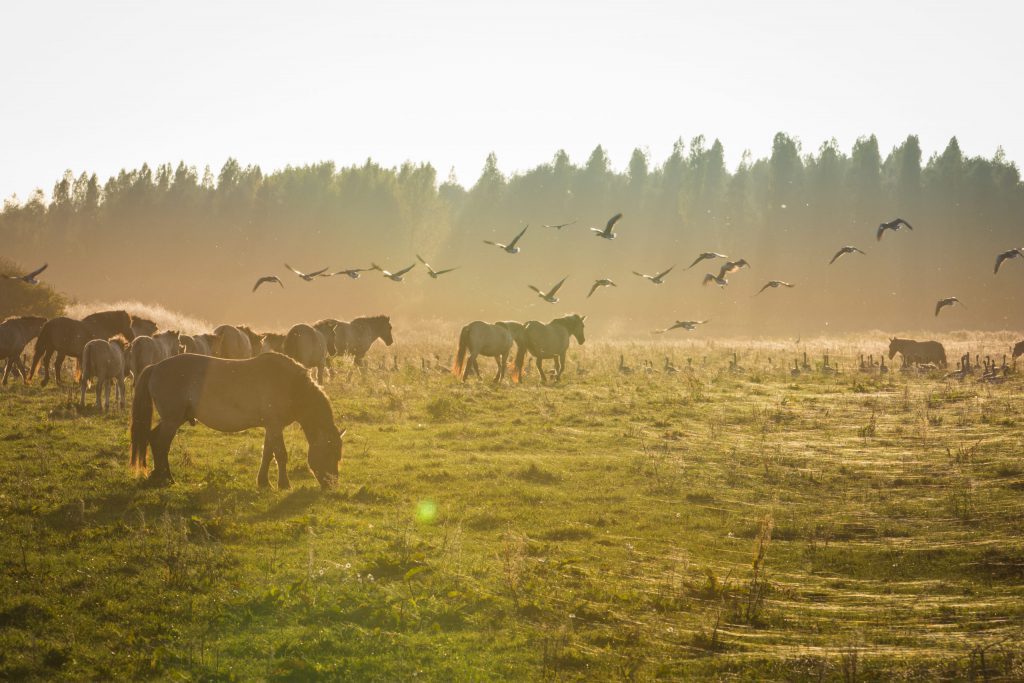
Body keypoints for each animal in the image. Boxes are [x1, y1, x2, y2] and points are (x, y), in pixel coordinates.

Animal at [130, 352, 346, 491]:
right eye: (330, 453)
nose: (332, 485)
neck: (291, 385)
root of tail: (155, 367)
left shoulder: (271, 427)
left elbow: (267, 454)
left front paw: (263, 482)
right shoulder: (275, 426)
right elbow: (281, 455)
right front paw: (284, 485)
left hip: (175, 419)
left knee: (153, 439)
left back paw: (159, 476)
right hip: (172, 420)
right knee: (160, 444)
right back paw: (167, 478)